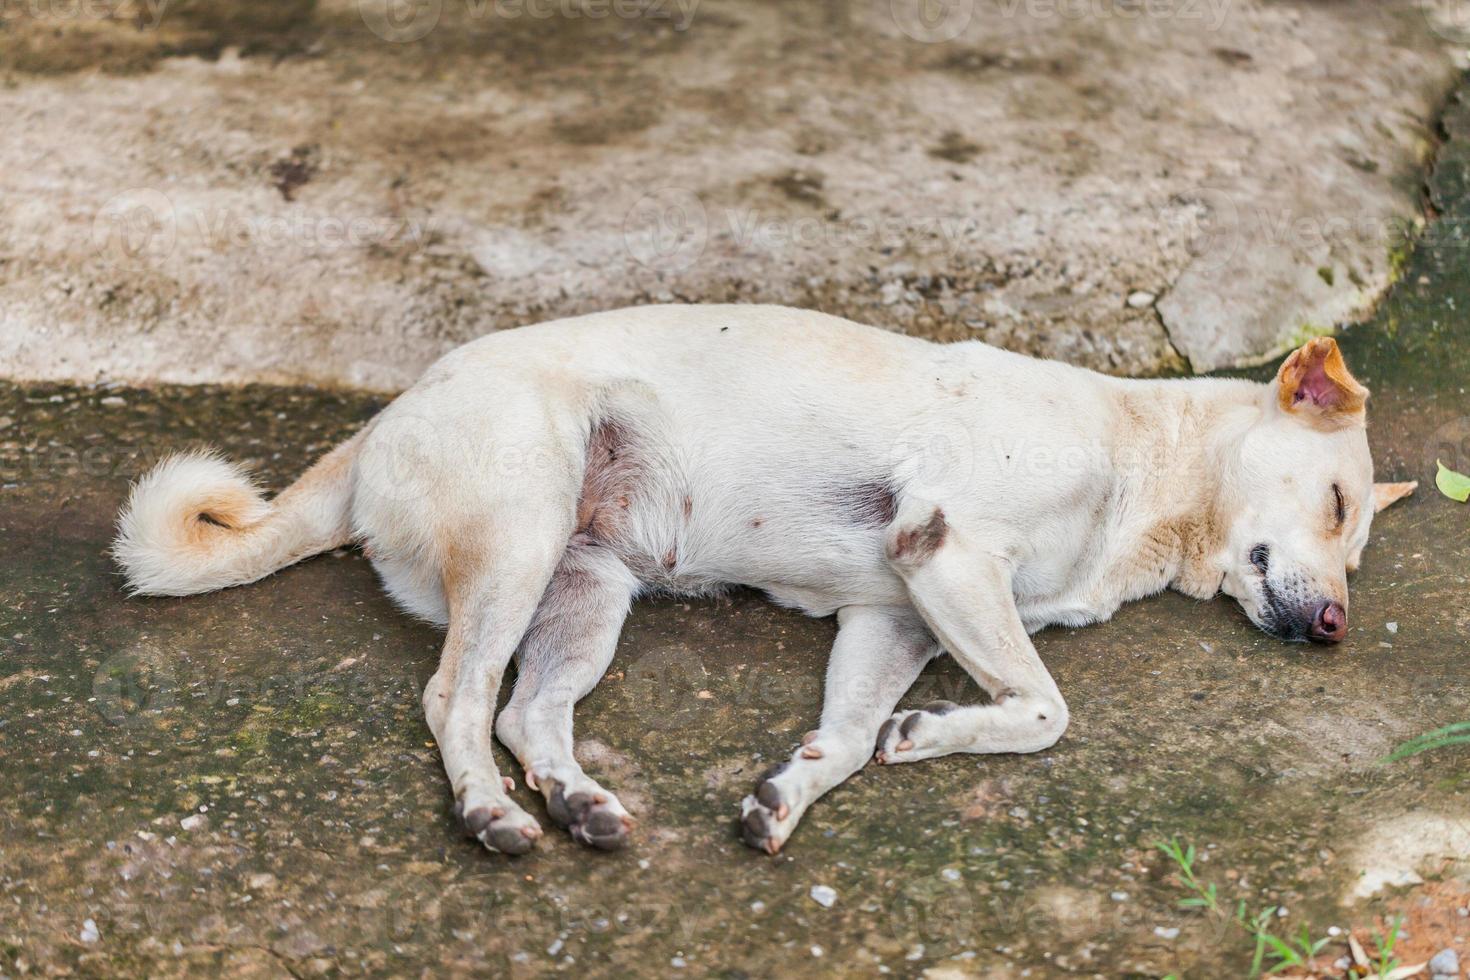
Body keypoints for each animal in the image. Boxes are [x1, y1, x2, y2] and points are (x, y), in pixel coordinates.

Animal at [108, 307, 1417, 858]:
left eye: (1354, 546)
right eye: (1335, 504)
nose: (1338, 624)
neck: (1148, 466)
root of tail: (381, 422)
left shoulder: (895, 614)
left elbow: (845, 738)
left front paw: (809, 782)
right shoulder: (949, 551)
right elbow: (1047, 706)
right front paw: (941, 728)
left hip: (585, 595)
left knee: (530, 711)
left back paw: (575, 799)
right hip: (521, 535)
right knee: (455, 699)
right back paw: (491, 813)